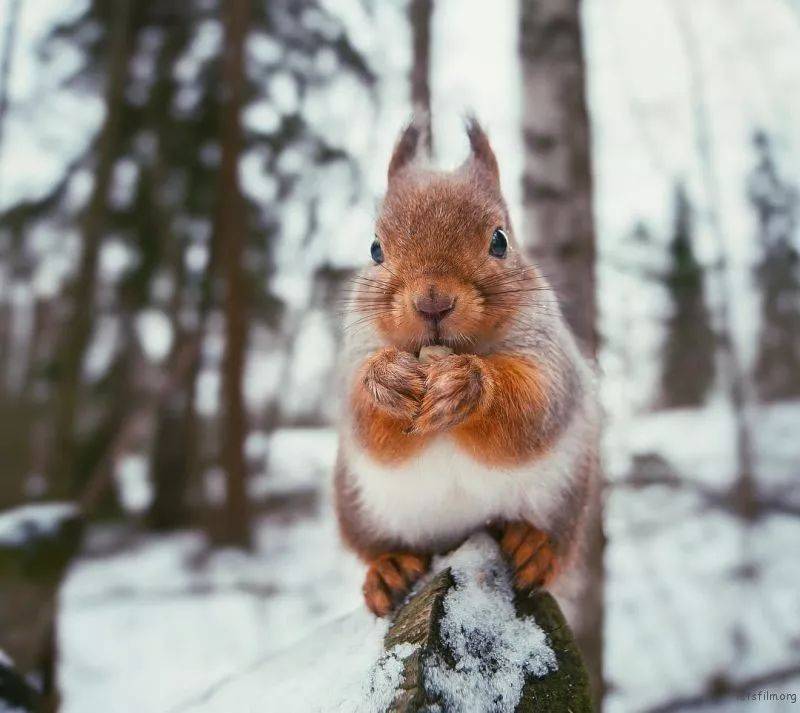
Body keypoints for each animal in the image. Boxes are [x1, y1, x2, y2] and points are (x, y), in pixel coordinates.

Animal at [332, 117, 600, 628]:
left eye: (500, 240)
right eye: (375, 249)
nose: (432, 300)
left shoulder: (549, 356)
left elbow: (533, 406)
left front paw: (468, 385)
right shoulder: (354, 356)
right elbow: (365, 420)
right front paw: (386, 380)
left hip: (569, 494)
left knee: (556, 542)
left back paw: (533, 544)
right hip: (359, 506)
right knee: (376, 546)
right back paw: (388, 568)